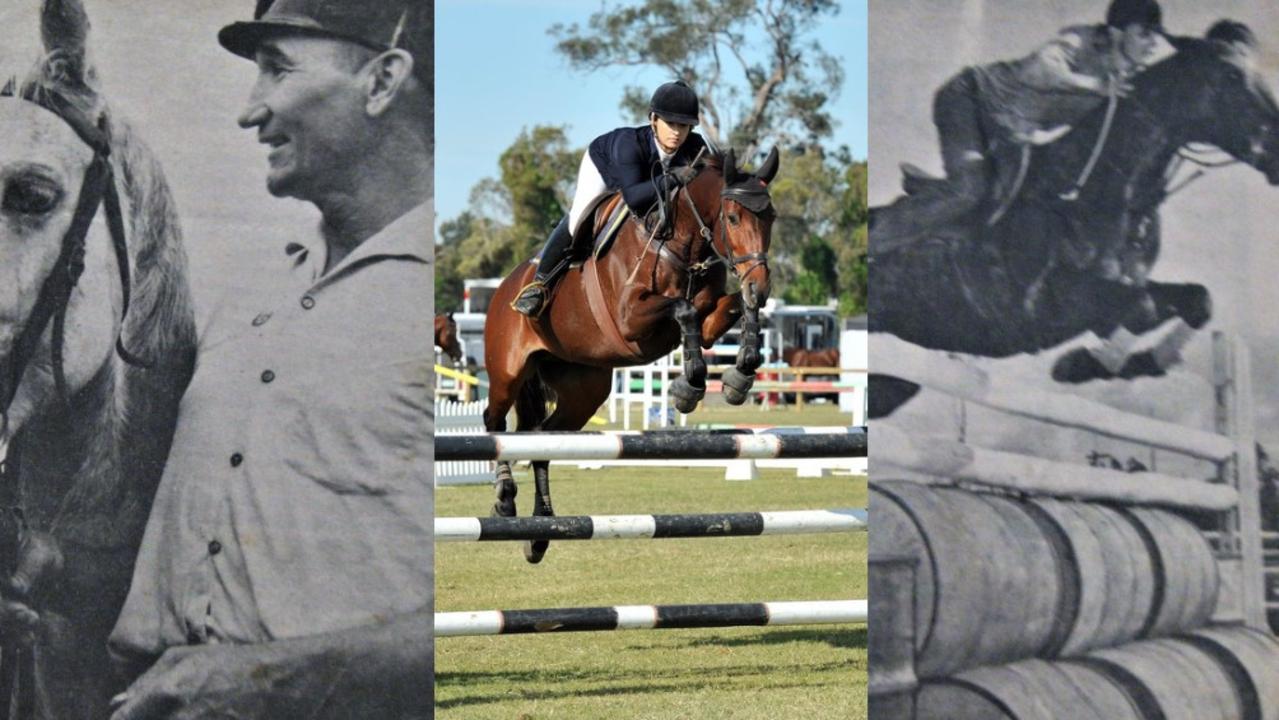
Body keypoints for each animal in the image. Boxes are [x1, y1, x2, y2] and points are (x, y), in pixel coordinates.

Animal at [480, 147, 772, 562]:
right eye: (732, 217)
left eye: (772, 217)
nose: (760, 286)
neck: (681, 243)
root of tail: (505, 287)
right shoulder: (630, 320)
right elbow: (683, 309)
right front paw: (689, 387)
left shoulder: (709, 316)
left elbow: (728, 307)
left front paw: (738, 376)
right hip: (508, 372)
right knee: (495, 422)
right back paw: (505, 501)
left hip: (584, 388)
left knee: (542, 439)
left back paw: (541, 530)